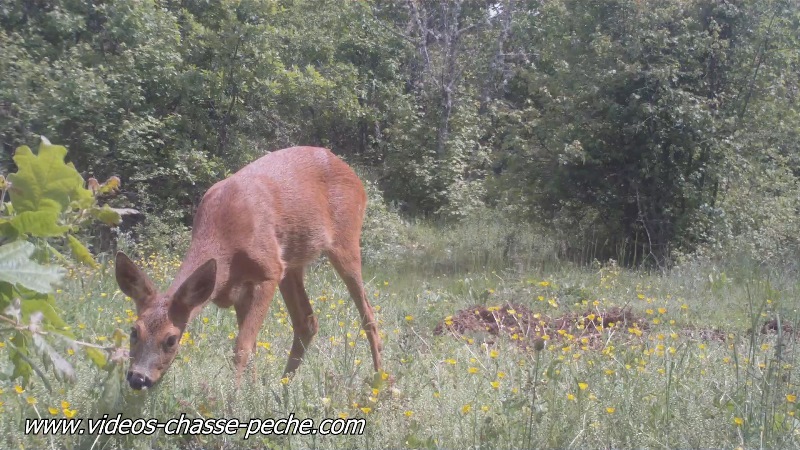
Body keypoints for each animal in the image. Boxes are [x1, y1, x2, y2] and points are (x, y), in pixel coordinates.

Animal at [113, 146, 384, 388]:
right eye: (134, 331)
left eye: (171, 339)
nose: (138, 379)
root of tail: (354, 176)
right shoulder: (241, 290)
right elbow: (252, 347)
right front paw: (252, 394)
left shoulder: (268, 274)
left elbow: (242, 347)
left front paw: (235, 401)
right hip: (292, 265)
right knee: (307, 322)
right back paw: (283, 386)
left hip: (345, 242)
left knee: (368, 315)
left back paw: (380, 382)